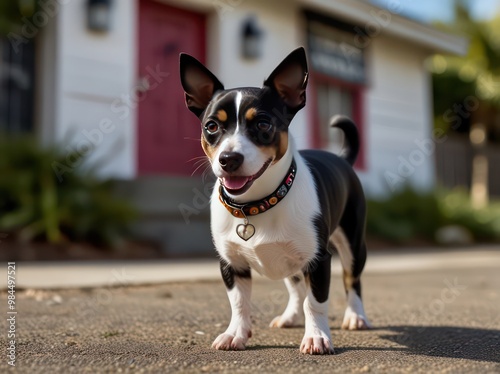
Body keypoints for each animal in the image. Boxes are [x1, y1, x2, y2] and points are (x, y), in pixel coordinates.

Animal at [180, 46, 372, 354]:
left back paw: (356, 316)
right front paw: (236, 333)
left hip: (353, 245)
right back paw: (290, 316)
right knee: (295, 287)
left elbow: (316, 302)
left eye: (263, 123)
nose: (229, 158)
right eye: (211, 126)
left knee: (351, 279)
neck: (256, 204)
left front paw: (316, 336)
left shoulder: (319, 260)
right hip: (290, 260)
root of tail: (341, 158)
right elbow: (239, 303)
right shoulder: (231, 264)